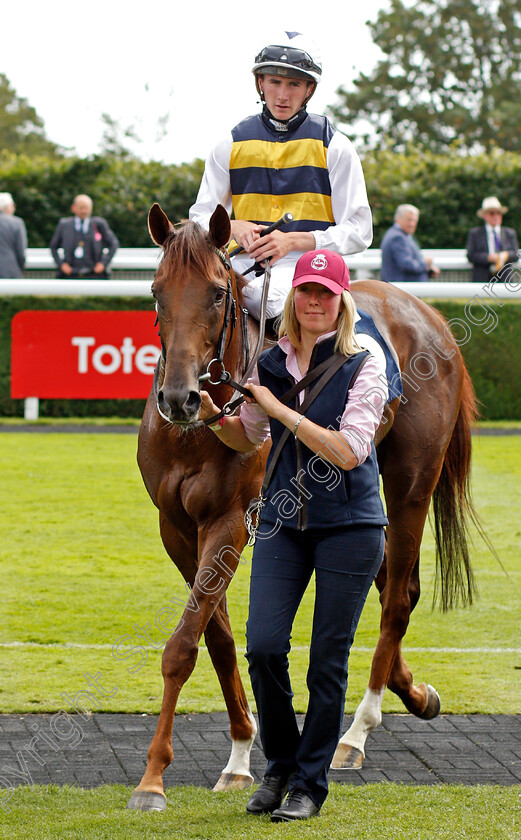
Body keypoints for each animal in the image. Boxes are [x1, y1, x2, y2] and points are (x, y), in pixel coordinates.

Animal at [127, 200, 476, 812]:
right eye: (155, 290)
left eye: (216, 293)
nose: (179, 398)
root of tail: (427, 314)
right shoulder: (177, 530)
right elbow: (218, 638)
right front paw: (241, 756)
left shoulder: (229, 523)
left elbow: (183, 646)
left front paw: (152, 779)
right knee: (394, 584)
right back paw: (414, 693)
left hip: (410, 484)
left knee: (396, 599)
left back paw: (357, 732)